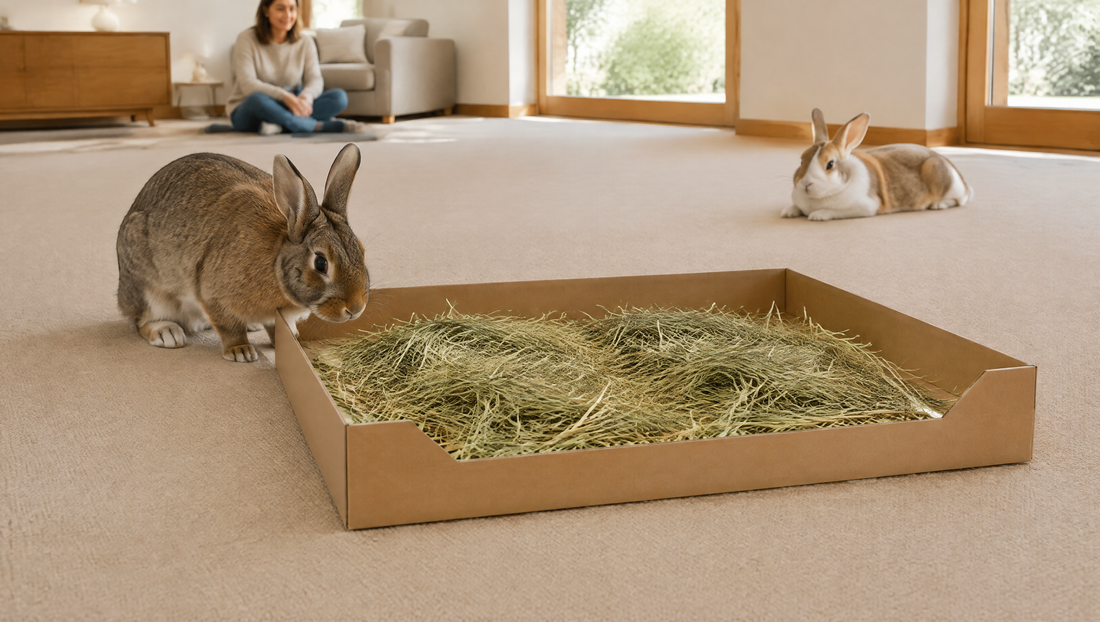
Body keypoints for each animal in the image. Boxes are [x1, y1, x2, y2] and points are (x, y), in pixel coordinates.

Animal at [116, 143, 370, 362]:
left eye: (361, 250)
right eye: (320, 263)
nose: (356, 308)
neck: (276, 261)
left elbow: (275, 328)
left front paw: (288, 341)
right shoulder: (213, 295)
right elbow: (229, 326)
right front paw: (240, 351)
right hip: (149, 291)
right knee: (142, 321)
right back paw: (166, 333)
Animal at [782, 108, 972, 221]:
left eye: (830, 164)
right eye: (801, 160)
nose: (806, 184)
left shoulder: (864, 207)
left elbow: (833, 212)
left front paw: (817, 215)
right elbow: (795, 207)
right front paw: (788, 211)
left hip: (946, 182)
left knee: (960, 199)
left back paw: (938, 204)